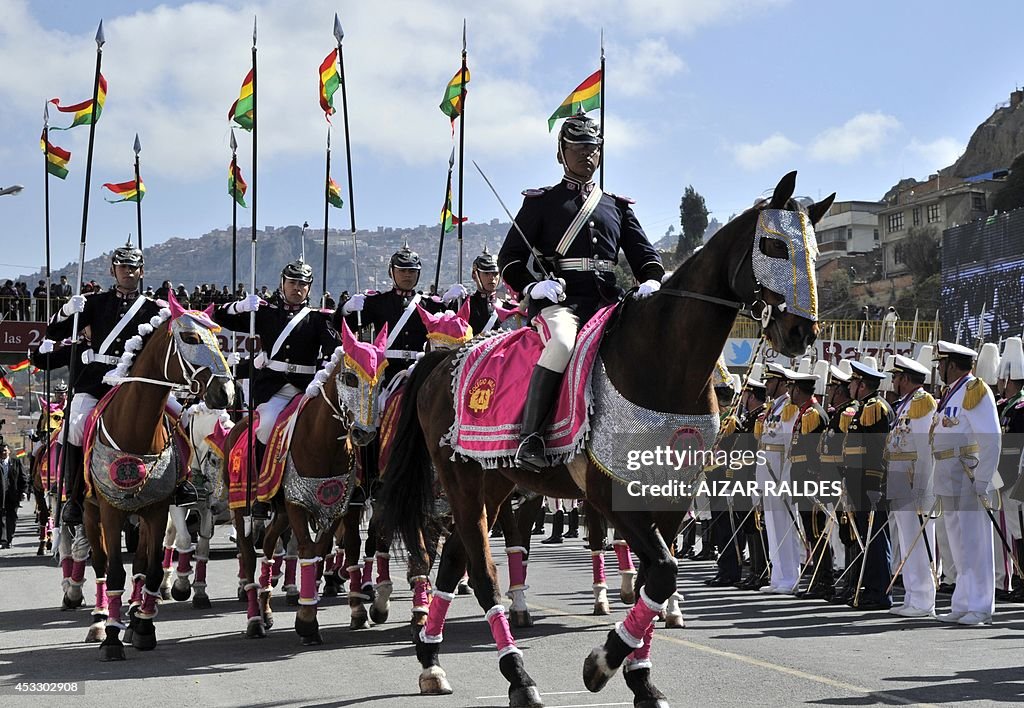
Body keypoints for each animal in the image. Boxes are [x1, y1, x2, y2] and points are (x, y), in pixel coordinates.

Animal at [83, 297, 234, 663]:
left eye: (219, 340)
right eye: (190, 339)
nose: (225, 392)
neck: (135, 430)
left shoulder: (158, 508)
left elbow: (149, 568)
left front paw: (143, 628)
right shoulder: (111, 512)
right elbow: (113, 571)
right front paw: (111, 637)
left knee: (141, 563)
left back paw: (136, 614)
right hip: (91, 512)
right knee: (99, 563)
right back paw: (99, 621)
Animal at [382, 173, 831, 708]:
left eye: (813, 250)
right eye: (773, 245)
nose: (802, 332)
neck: (661, 361)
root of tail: (440, 360)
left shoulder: (672, 497)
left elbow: (658, 579)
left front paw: (641, 677)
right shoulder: (611, 492)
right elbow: (661, 570)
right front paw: (603, 663)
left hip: (494, 482)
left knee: (455, 560)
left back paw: (432, 660)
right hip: (463, 481)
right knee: (483, 574)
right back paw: (519, 677)